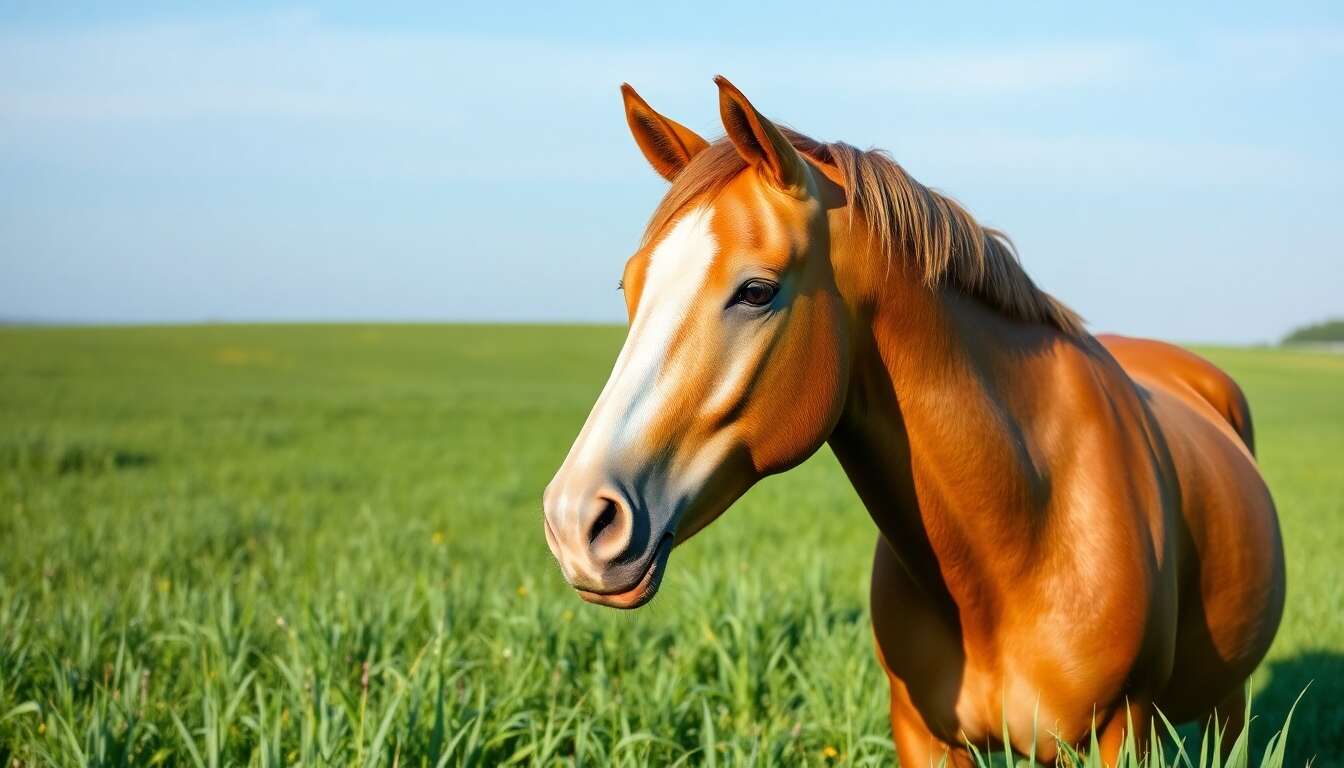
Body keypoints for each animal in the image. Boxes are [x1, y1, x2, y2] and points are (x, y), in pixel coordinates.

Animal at [541, 76, 1286, 766]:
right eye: (631, 287)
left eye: (756, 291)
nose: (577, 522)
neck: (1025, 527)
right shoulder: (923, 734)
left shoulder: (1120, 731)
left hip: (1228, 701)